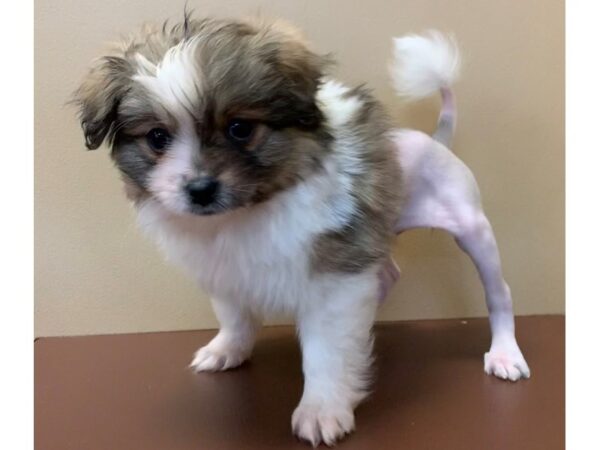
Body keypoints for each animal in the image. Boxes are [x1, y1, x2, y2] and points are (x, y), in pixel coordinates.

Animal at [74, 16, 528, 446]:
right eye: (157, 137)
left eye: (240, 129)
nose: (200, 189)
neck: (249, 212)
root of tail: (437, 141)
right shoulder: (227, 272)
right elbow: (235, 318)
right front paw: (227, 350)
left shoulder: (334, 279)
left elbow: (325, 353)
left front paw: (322, 409)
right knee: (389, 274)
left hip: (471, 229)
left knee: (500, 293)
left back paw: (505, 353)